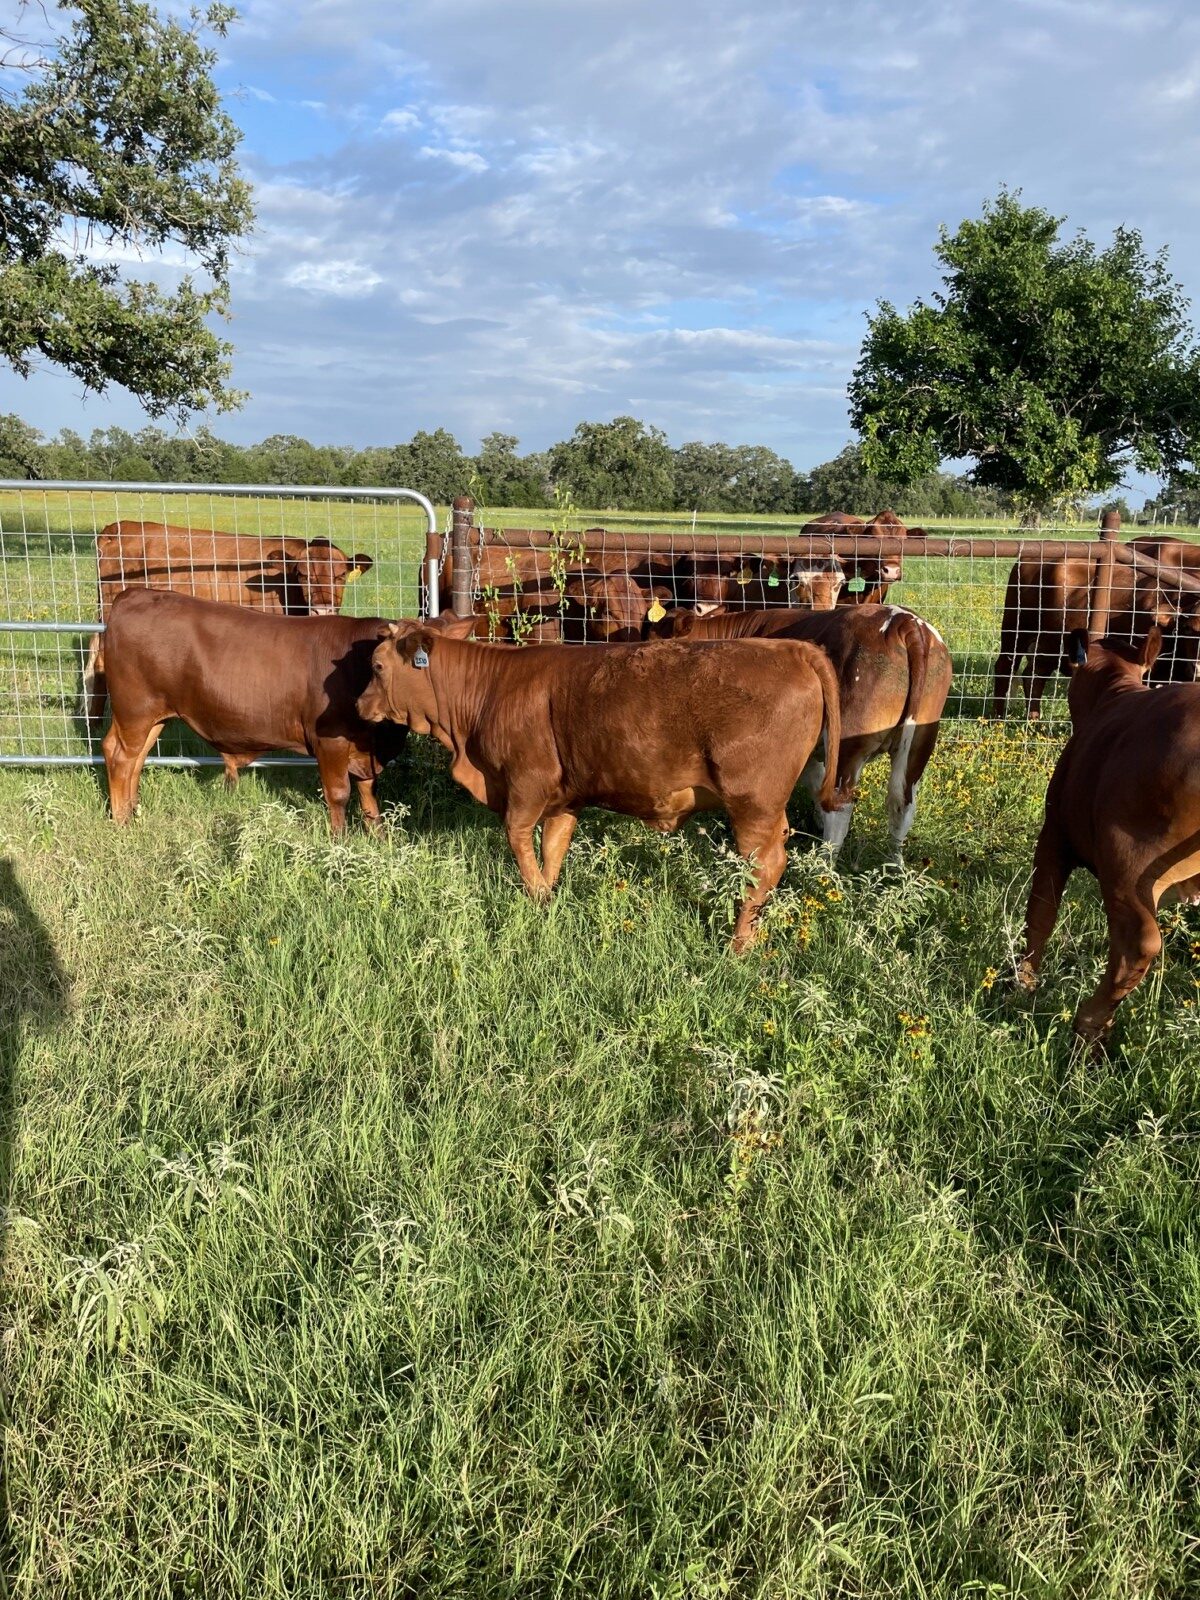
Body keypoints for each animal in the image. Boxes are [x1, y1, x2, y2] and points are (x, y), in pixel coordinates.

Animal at [99, 588, 474, 831]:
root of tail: (132, 594)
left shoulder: (365, 750)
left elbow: (370, 795)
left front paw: (378, 839)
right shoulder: (330, 742)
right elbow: (339, 795)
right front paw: (340, 843)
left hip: (152, 716)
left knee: (131, 757)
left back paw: (132, 811)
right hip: (136, 709)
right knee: (120, 757)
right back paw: (122, 823)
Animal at [356, 632, 847, 950]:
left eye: (377, 667)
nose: (360, 705)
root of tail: (791, 648)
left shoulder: (525, 787)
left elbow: (521, 847)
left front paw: (535, 900)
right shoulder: (563, 799)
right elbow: (552, 851)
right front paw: (548, 903)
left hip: (752, 804)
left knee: (764, 866)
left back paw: (739, 944)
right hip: (769, 810)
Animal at [665, 605, 951, 855]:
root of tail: (904, 620)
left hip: (848, 746)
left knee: (841, 807)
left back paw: (823, 864)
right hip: (920, 742)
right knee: (902, 805)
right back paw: (895, 866)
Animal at [990, 549, 1200, 717]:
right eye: (1188, 628)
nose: (1197, 667)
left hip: (1049, 645)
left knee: (1034, 677)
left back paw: (1034, 722)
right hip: (1016, 629)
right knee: (1005, 669)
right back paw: (998, 719)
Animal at [1016, 626, 1200, 1047]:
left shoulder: (1054, 837)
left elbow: (1041, 913)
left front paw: (1024, 981)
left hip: (1127, 864)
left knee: (1136, 946)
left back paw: (1089, 1026)